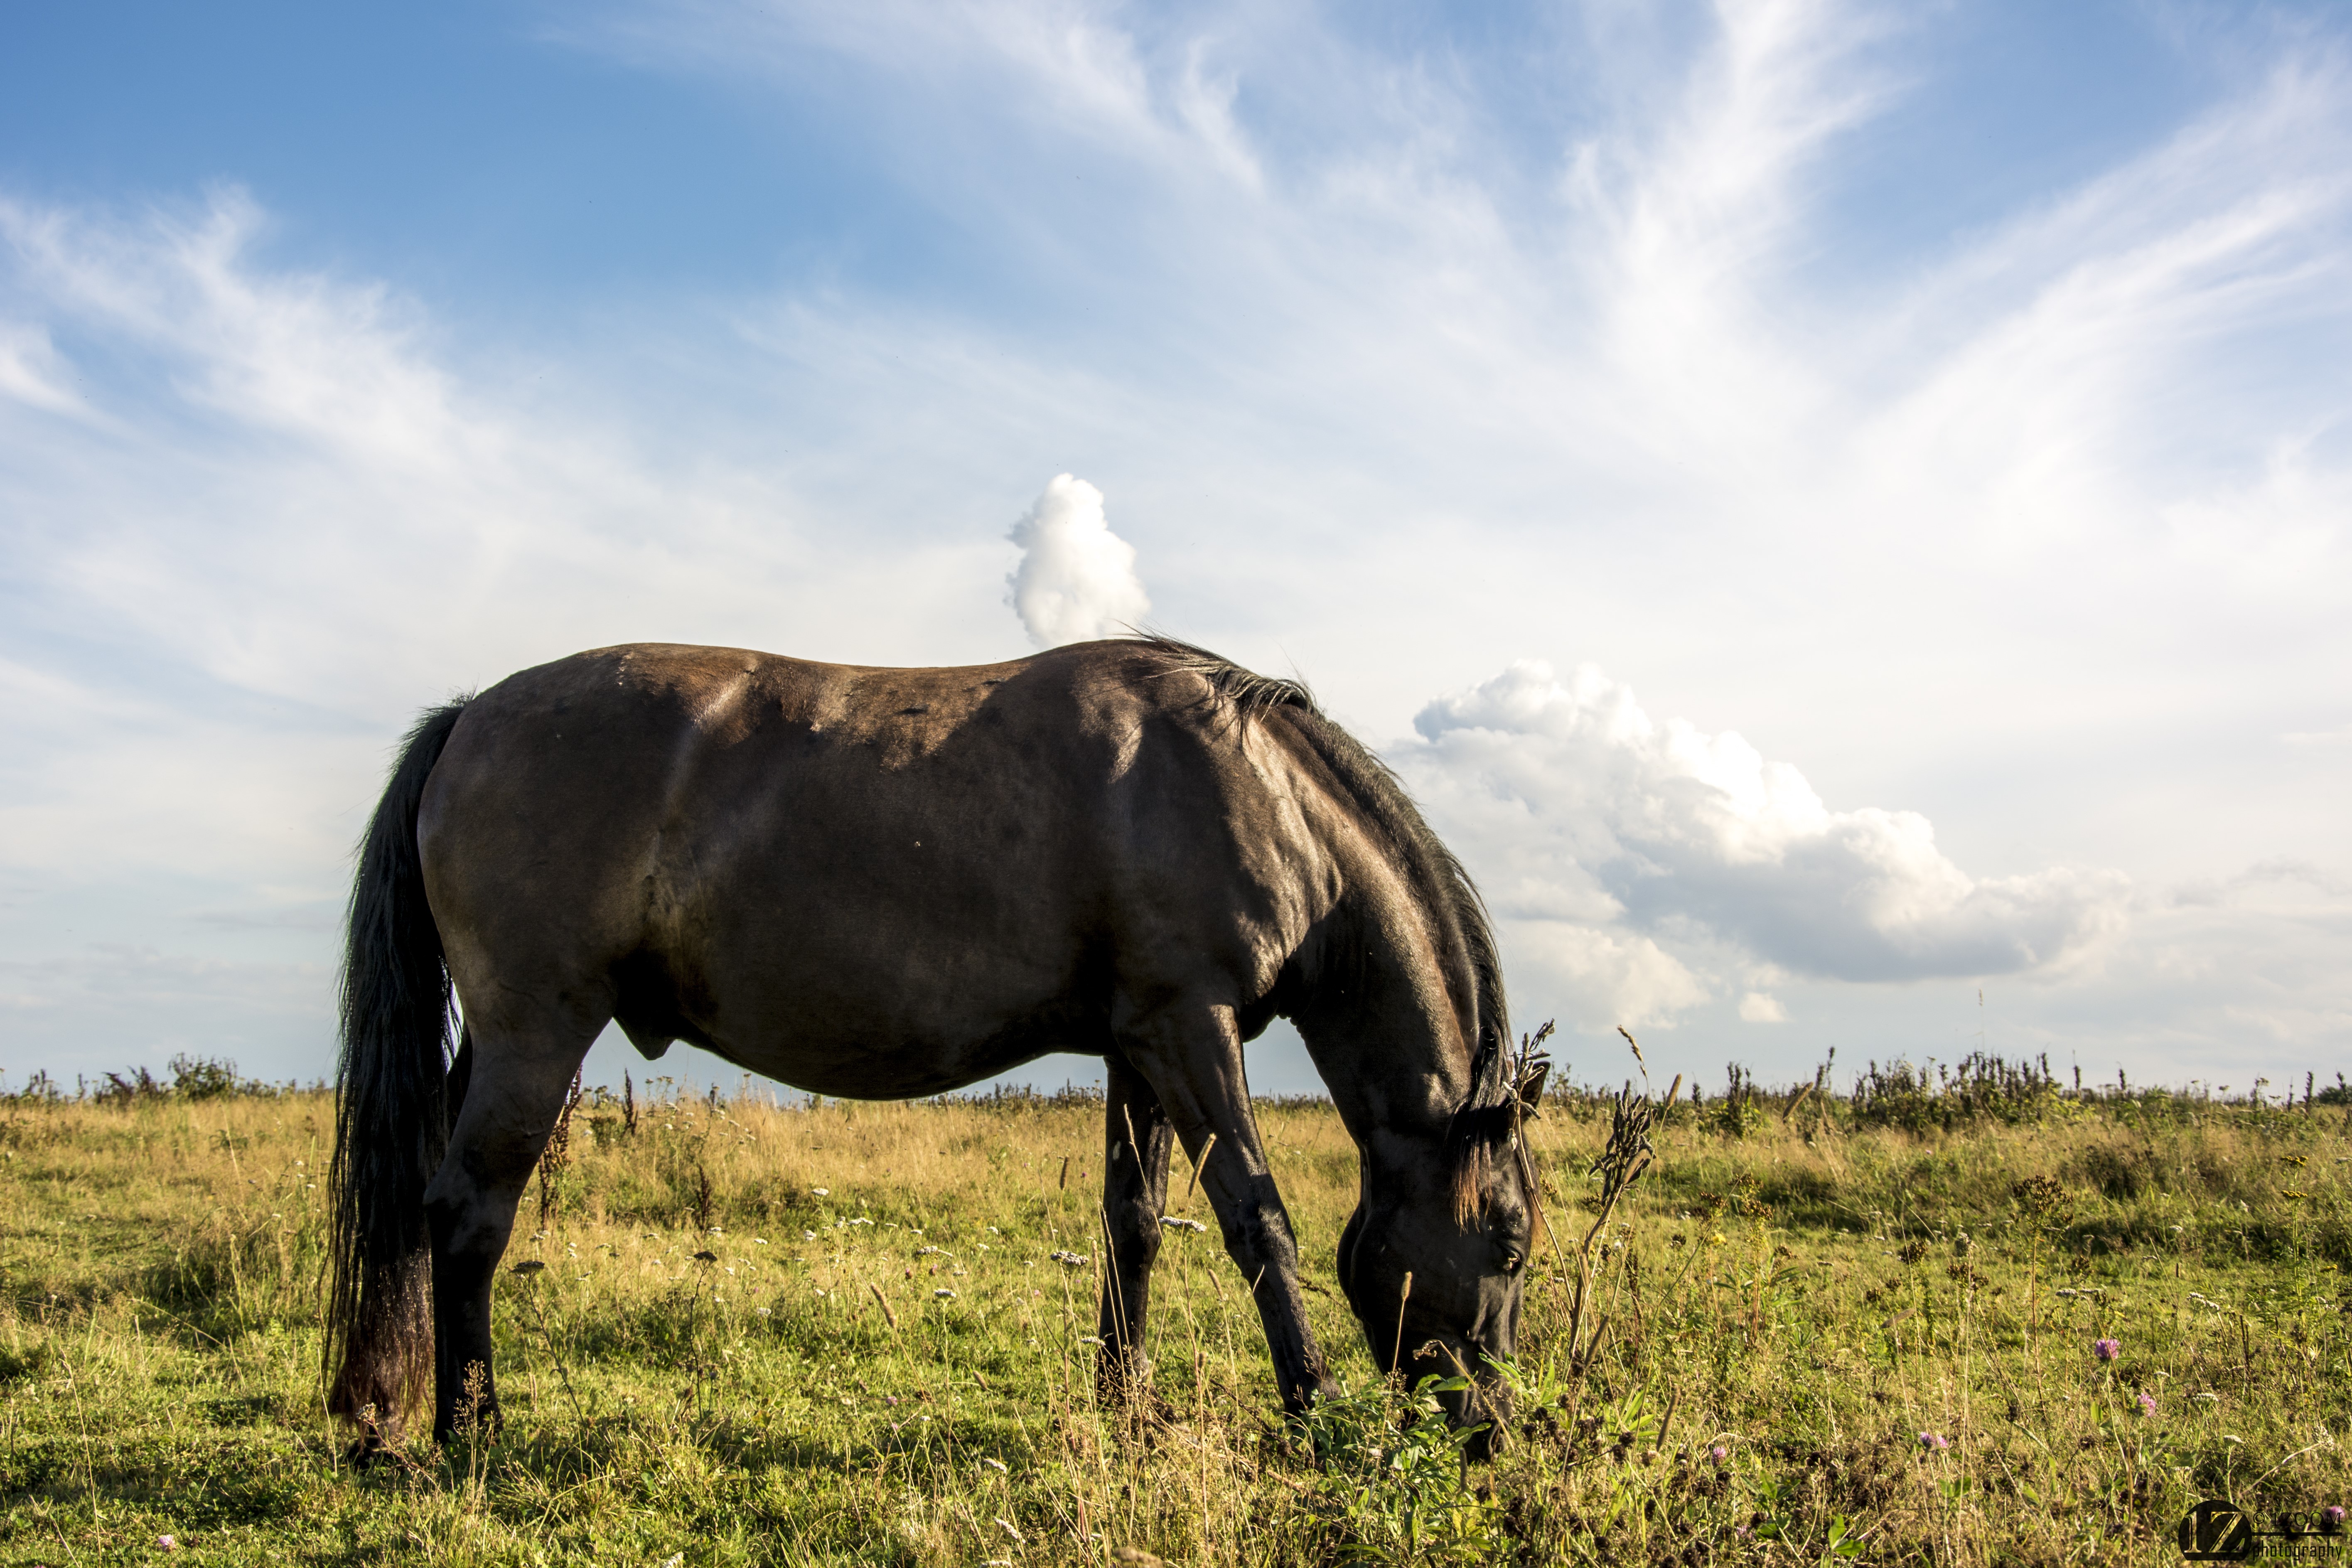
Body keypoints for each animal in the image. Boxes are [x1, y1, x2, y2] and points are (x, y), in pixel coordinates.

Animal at [324, 635, 1549, 1455]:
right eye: (1510, 1243)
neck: (1257, 790)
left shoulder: (1140, 1042)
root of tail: (468, 717)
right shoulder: (1191, 1027)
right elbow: (1257, 1218)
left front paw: (1125, 1405)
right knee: (470, 1213)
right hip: (536, 1033)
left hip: (494, 1045)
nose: (1489, 1432)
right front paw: (1315, 1409)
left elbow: (1135, 1223)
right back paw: (473, 1426)